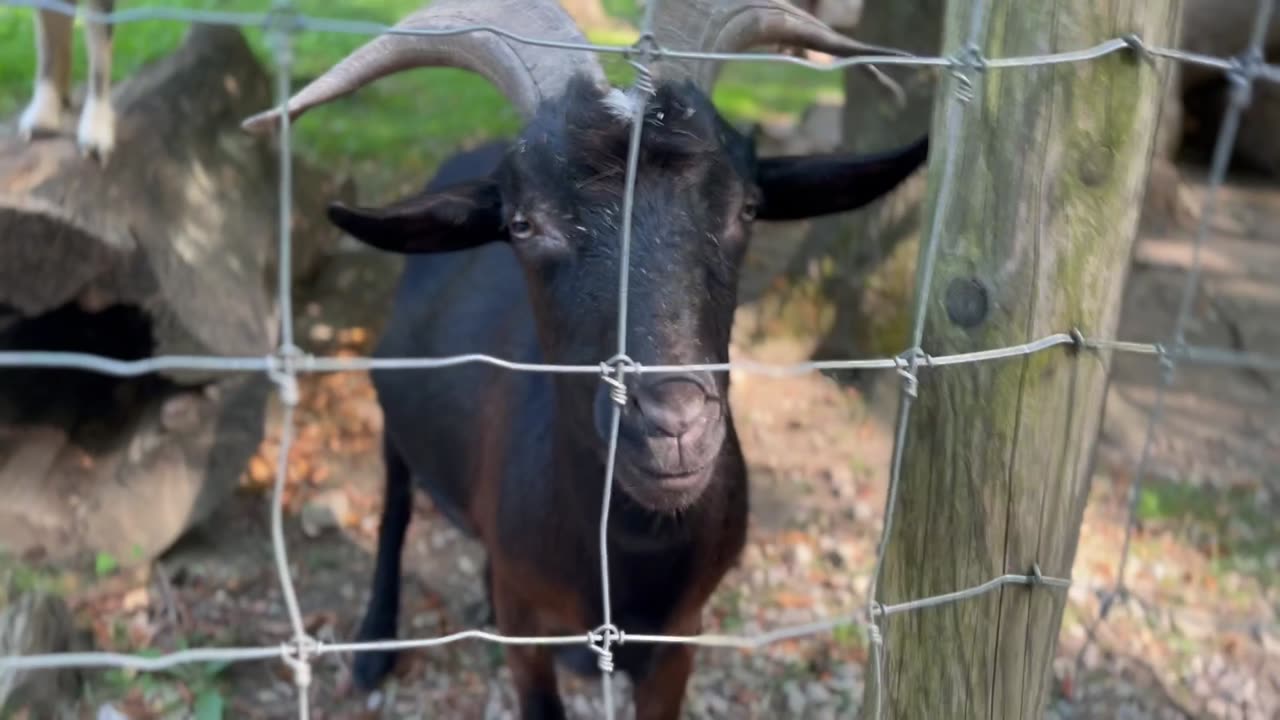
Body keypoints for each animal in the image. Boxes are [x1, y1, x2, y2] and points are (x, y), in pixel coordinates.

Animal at [240, 2, 921, 712]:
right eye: (523, 224)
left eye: (748, 208)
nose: (674, 425)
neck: (629, 548)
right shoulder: (527, 630)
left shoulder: (680, 636)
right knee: (394, 512)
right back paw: (374, 646)